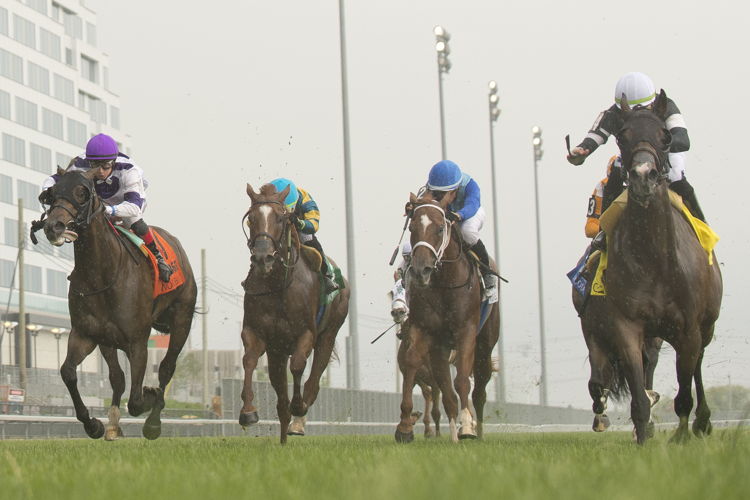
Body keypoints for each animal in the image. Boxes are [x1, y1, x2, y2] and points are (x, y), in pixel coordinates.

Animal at [37, 167, 197, 438]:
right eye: (53, 193)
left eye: (82, 193)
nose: (53, 226)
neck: (102, 273)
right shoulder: (86, 334)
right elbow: (69, 372)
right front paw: (94, 424)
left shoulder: (138, 342)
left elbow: (136, 400)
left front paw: (150, 396)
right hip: (108, 341)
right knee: (117, 377)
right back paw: (113, 424)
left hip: (182, 320)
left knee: (166, 367)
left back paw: (153, 422)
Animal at [239, 184, 352, 446]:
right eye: (252, 218)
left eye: (281, 218)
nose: (263, 257)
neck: (278, 285)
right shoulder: (257, 333)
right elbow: (249, 360)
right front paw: (248, 411)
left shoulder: (306, 333)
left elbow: (299, 365)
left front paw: (298, 406)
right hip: (277, 352)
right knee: (281, 398)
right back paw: (282, 437)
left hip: (329, 333)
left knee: (314, 380)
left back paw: (298, 421)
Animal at [396, 191, 502, 442]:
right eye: (412, 227)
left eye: (439, 229)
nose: (421, 269)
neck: (445, 282)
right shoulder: (426, 330)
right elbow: (413, 363)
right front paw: (404, 427)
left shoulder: (466, 331)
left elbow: (462, 380)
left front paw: (467, 427)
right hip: (441, 348)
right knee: (446, 390)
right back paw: (455, 432)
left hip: (485, 343)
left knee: (479, 388)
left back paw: (476, 430)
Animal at [604, 89, 724, 442]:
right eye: (622, 136)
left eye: (666, 136)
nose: (644, 176)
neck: (652, 260)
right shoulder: (627, 325)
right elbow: (639, 394)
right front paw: (643, 436)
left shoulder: (688, 328)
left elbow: (684, 390)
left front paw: (683, 434)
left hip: (705, 326)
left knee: (696, 366)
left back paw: (702, 422)